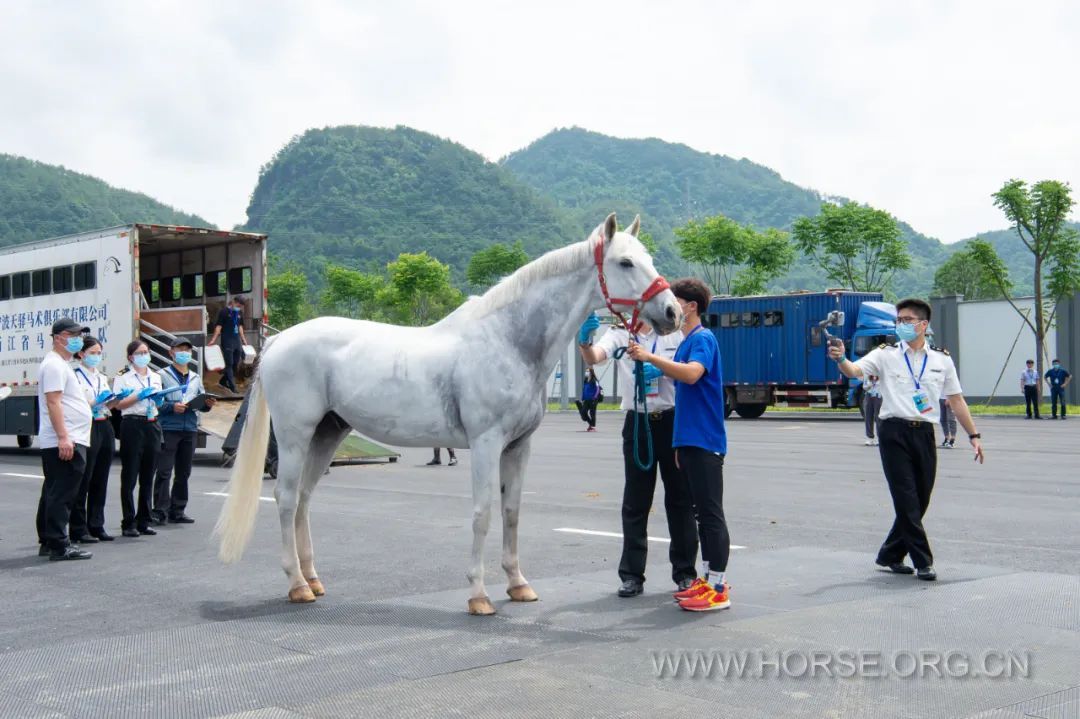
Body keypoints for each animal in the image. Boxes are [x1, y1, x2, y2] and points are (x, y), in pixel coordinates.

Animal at [213, 210, 678, 613]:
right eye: (625, 262)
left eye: (649, 259)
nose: (671, 311)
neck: (506, 341)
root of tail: (280, 340)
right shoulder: (486, 443)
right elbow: (483, 513)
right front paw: (479, 595)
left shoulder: (518, 447)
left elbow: (512, 513)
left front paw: (518, 584)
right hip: (295, 435)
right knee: (286, 498)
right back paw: (296, 586)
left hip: (329, 432)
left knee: (305, 499)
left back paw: (312, 579)